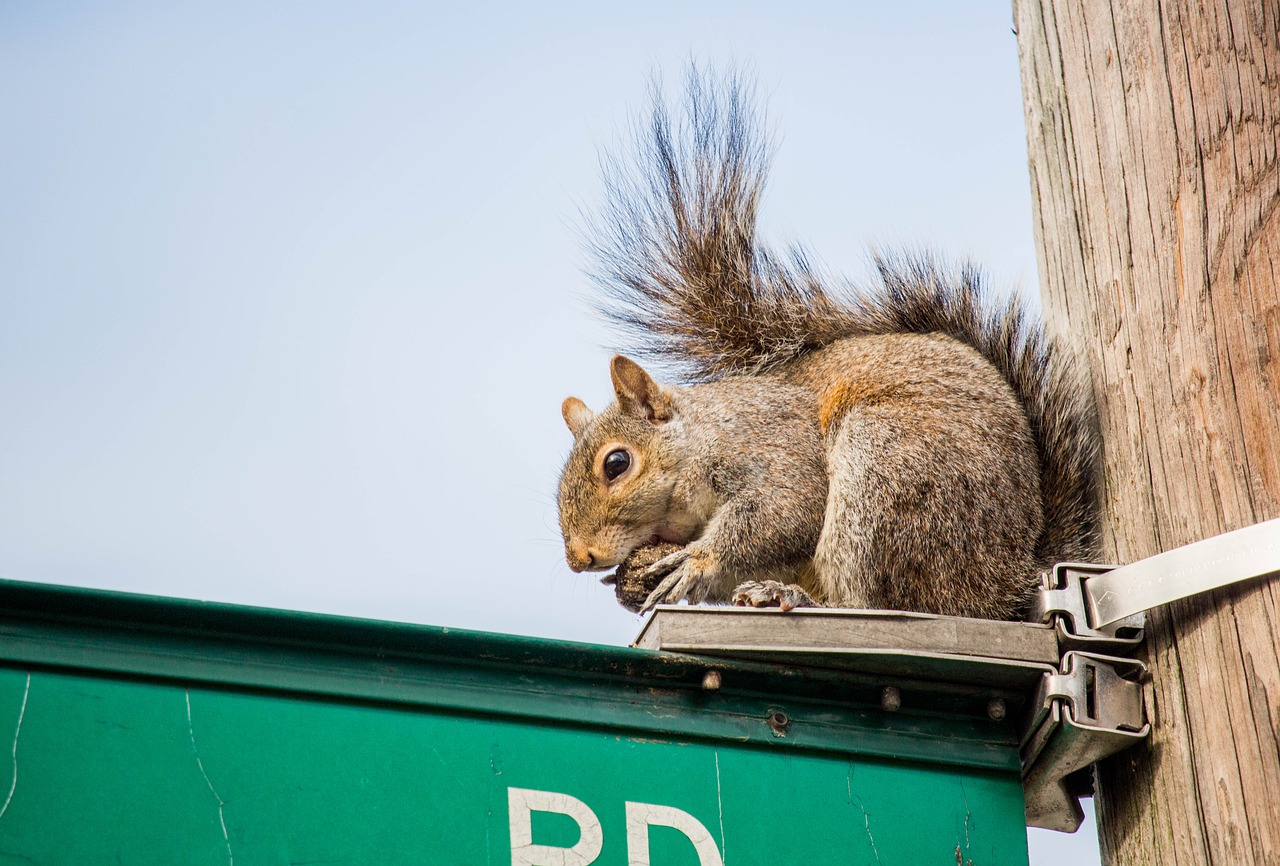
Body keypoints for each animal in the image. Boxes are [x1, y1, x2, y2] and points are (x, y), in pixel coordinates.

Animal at [550, 69, 1100, 621]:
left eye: (616, 464)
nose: (579, 559)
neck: (704, 437)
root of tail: (1007, 582)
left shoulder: (771, 448)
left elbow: (786, 507)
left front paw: (696, 560)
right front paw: (634, 580)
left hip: (890, 471)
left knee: (874, 599)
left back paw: (795, 595)